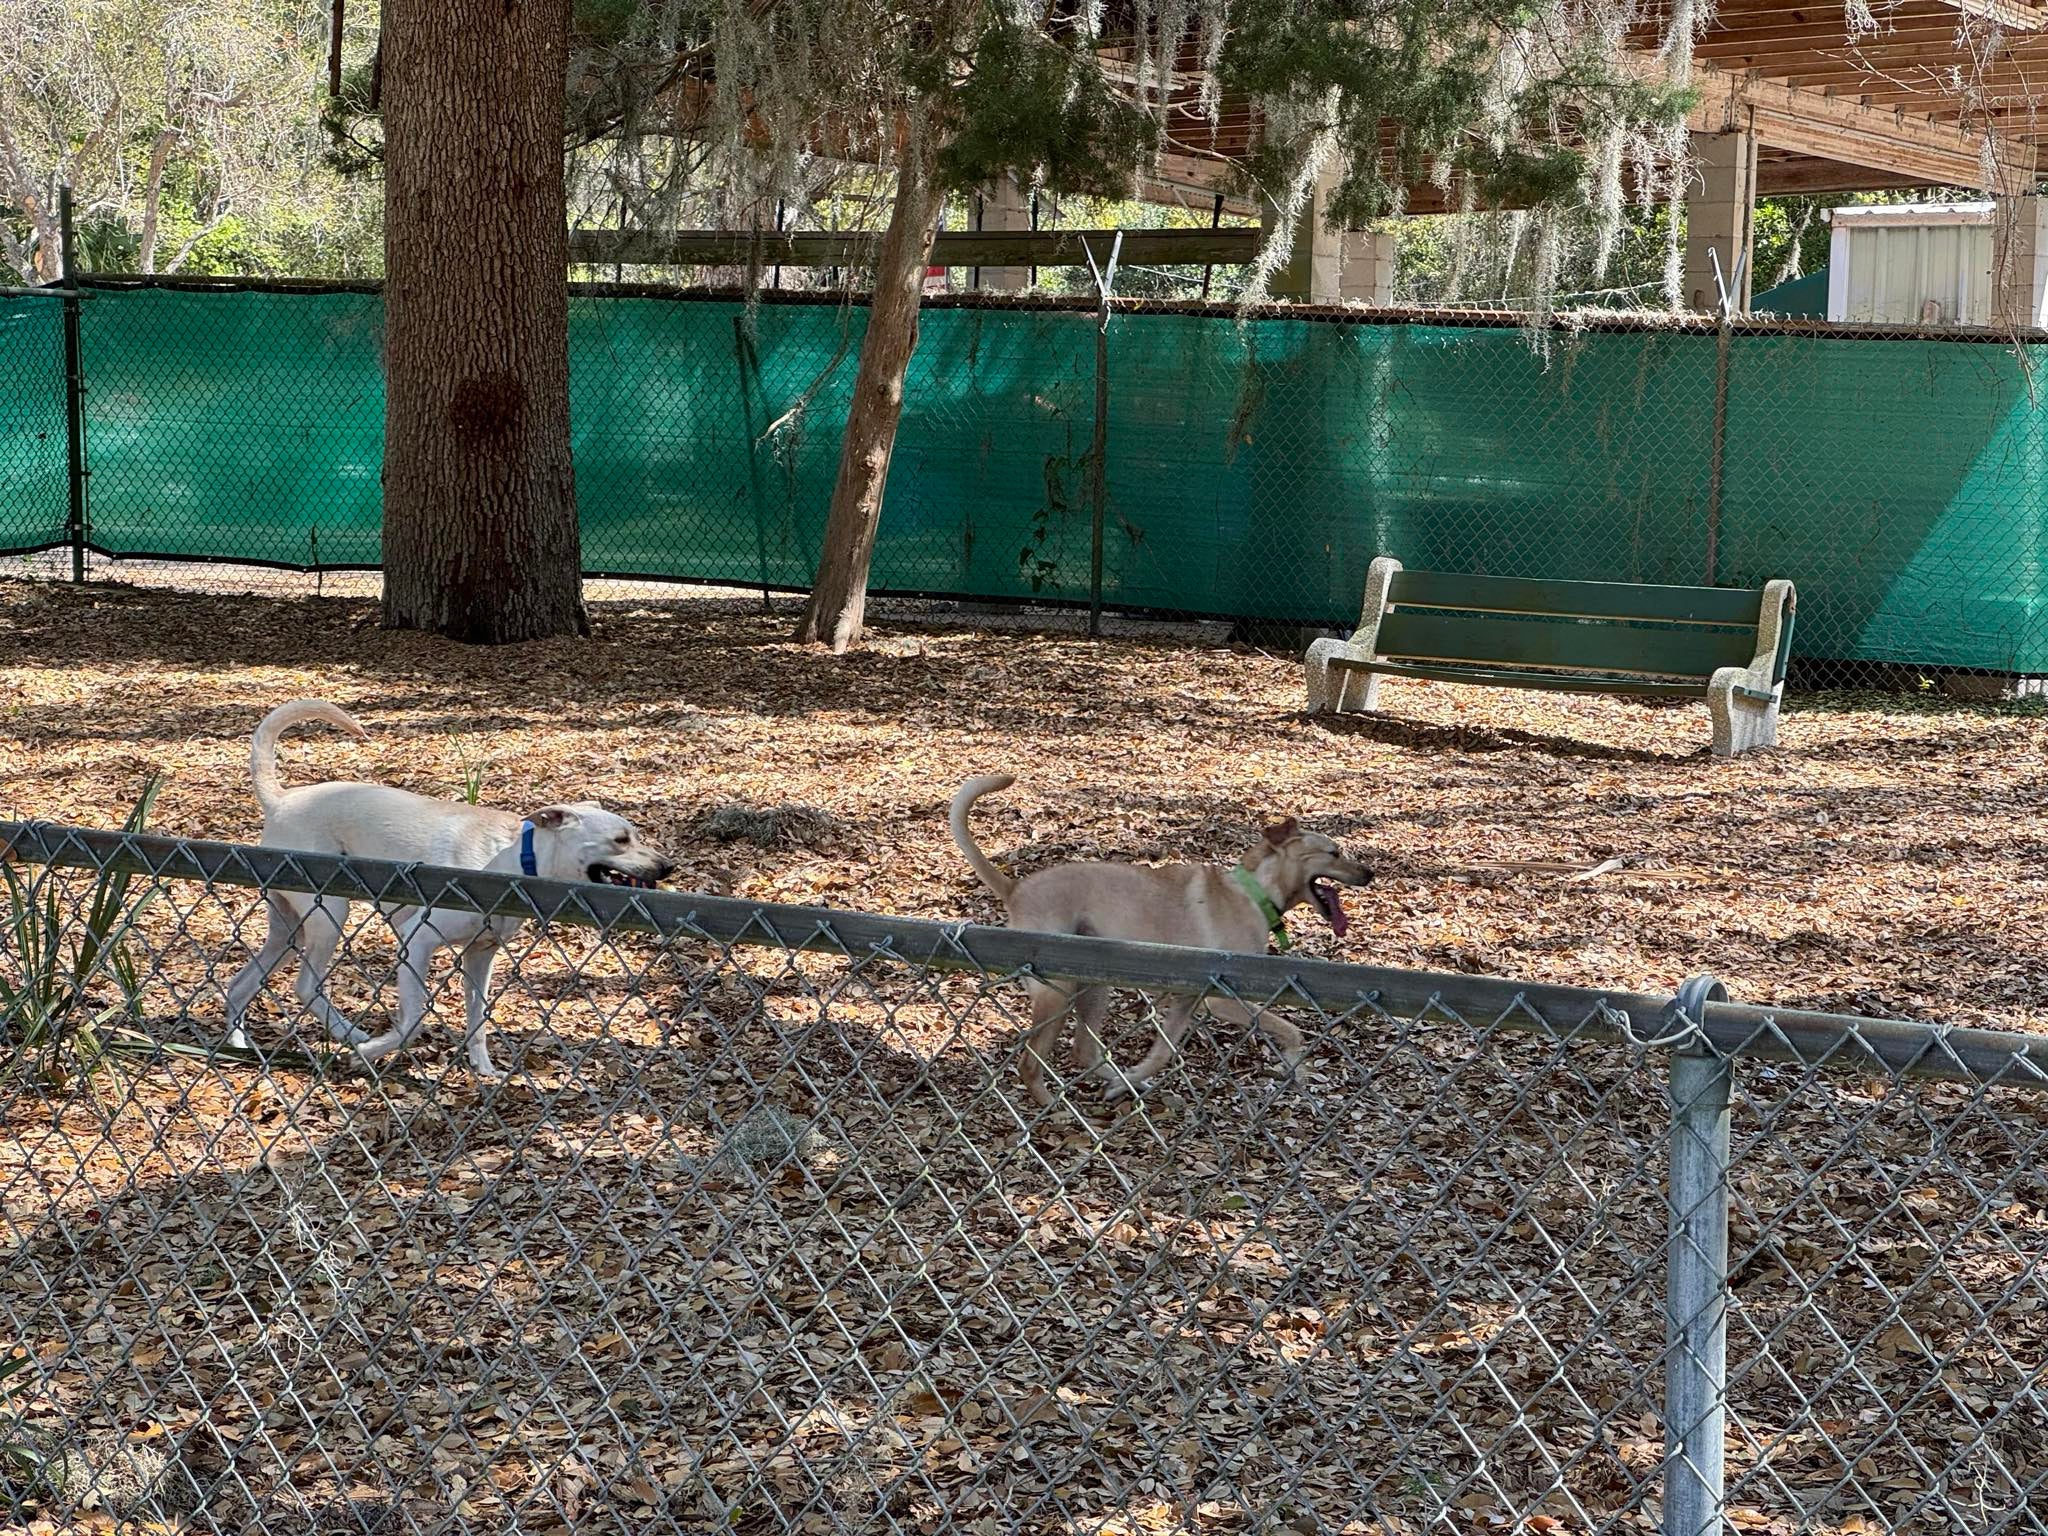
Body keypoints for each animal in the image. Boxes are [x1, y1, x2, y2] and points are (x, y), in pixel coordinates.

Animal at [224, 704, 671, 1073]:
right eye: (621, 840)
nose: (668, 867)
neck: (514, 861)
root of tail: (280, 799)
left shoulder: (480, 956)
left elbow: (478, 1021)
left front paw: (484, 1070)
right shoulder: (416, 940)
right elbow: (415, 1019)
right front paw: (370, 1052)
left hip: (289, 929)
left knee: (240, 984)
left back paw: (237, 1045)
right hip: (329, 914)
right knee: (305, 986)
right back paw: (352, 1036)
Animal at [946, 782, 1368, 1105]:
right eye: (1334, 852)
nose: (1371, 873)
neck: (1253, 892)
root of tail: (1015, 888)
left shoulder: (1188, 999)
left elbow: (1162, 1053)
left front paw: (1129, 1080)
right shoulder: (1222, 999)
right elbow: (1291, 1030)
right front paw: (1297, 1061)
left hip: (1095, 986)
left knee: (1085, 1051)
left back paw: (1114, 1081)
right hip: (1058, 993)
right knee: (1031, 1064)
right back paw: (1055, 1109)